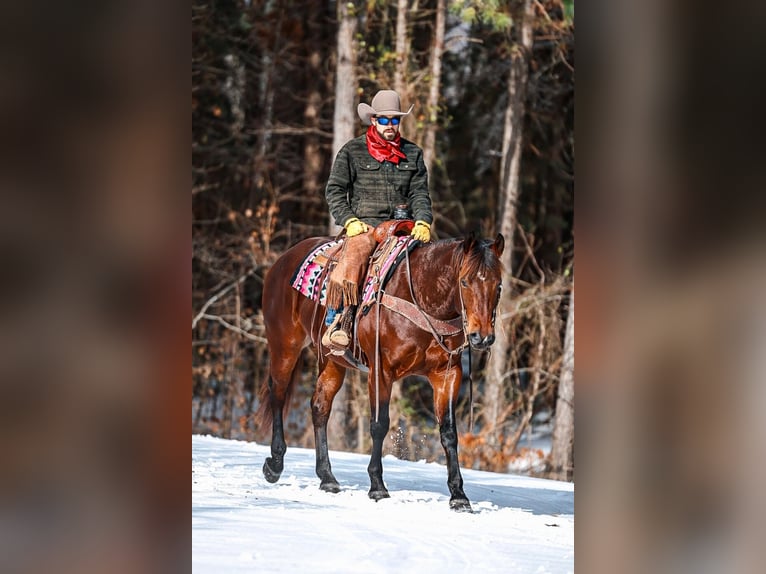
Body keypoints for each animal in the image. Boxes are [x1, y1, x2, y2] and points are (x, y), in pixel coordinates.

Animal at [259, 232, 504, 511]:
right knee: (278, 395)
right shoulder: (381, 371)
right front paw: (377, 486)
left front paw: (459, 495)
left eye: (498, 286)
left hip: (332, 361)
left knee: (320, 406)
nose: (481, 337)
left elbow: (449, 433)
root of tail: (283, 260)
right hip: (284, 346)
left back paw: (327, 477)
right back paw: (275, 464)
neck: (421, 298)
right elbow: (379, 424)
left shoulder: (447, 374)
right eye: (464, 281)